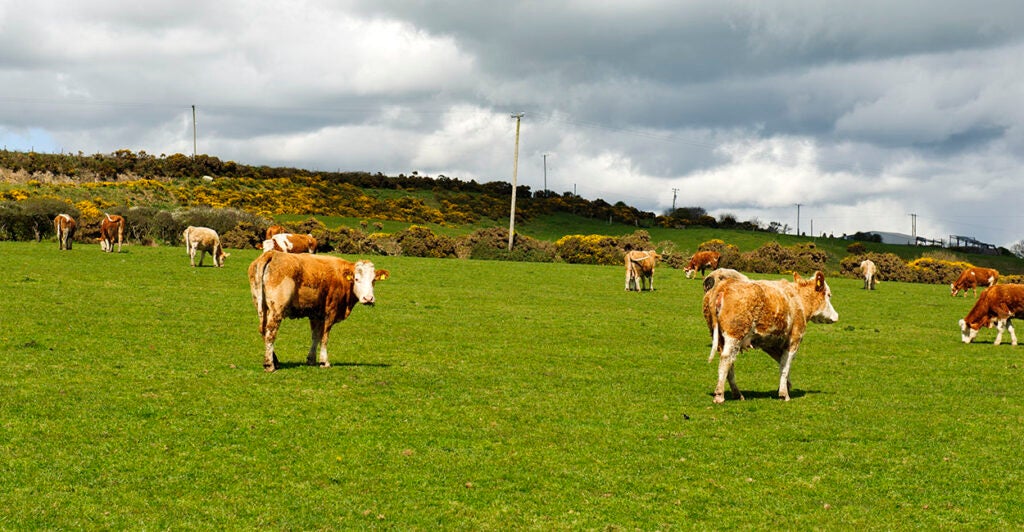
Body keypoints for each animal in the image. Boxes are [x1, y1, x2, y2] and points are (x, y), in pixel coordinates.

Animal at [248, 251, 389, 371]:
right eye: (356, 279)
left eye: (373, 280)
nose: (368, 298)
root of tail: (272, 253)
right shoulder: (330, 312)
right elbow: (324, 337)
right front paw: (324, 361)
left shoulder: (316, 314)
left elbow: (315, 335)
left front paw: (311, 359)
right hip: (276, 309)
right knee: (270, 332)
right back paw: (269, 364)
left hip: (262, 306)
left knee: (263, 331)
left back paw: (275, 361)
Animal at [704, 271, 838, 403]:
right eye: (829, 295)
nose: (836, 316)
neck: (798, 301)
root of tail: (724, 285)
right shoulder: (794, 340)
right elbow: (785, 366)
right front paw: (784, 394)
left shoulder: (771, 344)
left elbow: (782, 362)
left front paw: (786, 385)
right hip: (734, 335)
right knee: (726, 360)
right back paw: (720, 395)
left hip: (720, 338)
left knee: (730, 363)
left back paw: (737, 394)